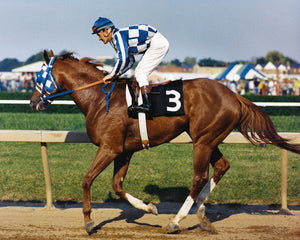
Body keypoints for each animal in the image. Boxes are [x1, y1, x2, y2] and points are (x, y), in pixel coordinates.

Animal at [30, 49, 300, 233]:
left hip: (203, 141)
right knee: (222, 166)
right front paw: (148, 207)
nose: (33, 102)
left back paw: (177, 220)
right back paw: (201, 211)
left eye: (39, 75)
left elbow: (87, 179)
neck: (98, 98)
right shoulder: (124, 151)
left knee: (200, 176)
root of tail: (234, 95)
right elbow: (117, 185)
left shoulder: (109, 148)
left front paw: (88, 221)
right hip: (207, 137)